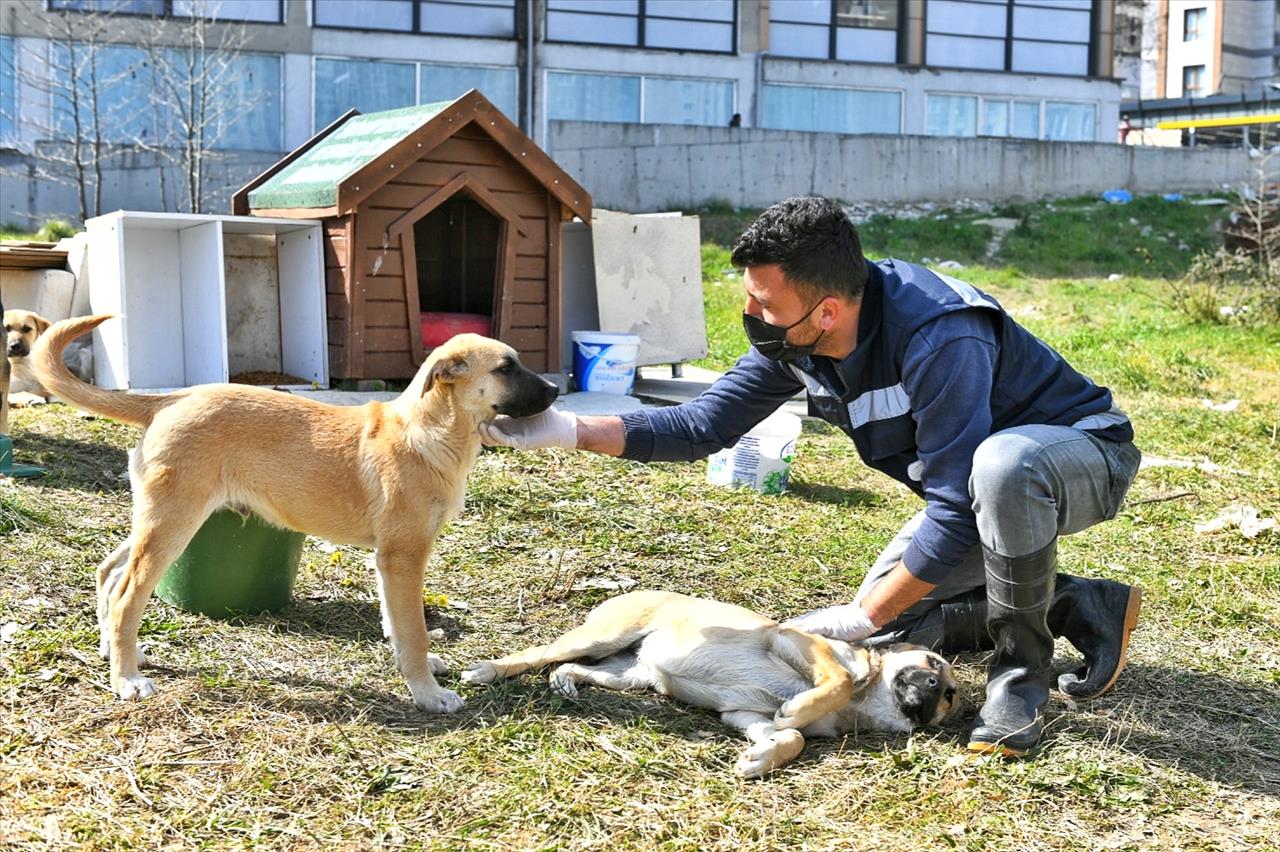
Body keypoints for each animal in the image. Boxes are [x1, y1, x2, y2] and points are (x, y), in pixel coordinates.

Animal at [30, 312, 558, 711]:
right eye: (506, 367)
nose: (556, 391)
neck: (429, 431)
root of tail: (173, 399)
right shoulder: (403, 556)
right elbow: (413, 631)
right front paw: (428, 693)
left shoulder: (389, 562)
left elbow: (397, 623)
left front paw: (421, 673)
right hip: (173, 523)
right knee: (127, 595)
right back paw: (126, 678)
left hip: (159, 517)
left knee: (108, 573)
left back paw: (115, 651)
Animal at [463, 591, 962, 777]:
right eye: (933, 663)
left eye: (948, 697)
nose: (932, 686)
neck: (862, 703)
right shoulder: (791, 640)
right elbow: (833, 679)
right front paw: (800, 707)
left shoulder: (745, 716)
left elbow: (794, 738)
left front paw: (761, 760)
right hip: (603, 637)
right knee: (537, 654)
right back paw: (487, 670)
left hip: (631, 676)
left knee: (579, 668)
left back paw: (567, 681)